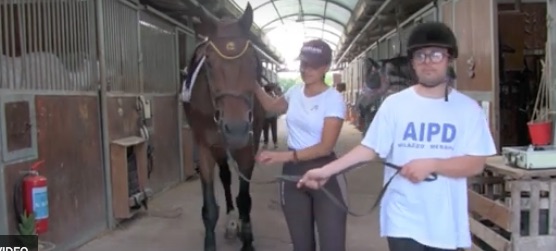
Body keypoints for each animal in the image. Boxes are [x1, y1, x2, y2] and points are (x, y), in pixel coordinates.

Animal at [179, 3, 264, 251]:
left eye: (253, 60)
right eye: (208, 62)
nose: (235, 130)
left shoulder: (248, 146)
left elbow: (245, 199)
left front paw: (248, 241)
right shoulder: (205, 147)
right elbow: (209, 209)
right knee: (225, 176)